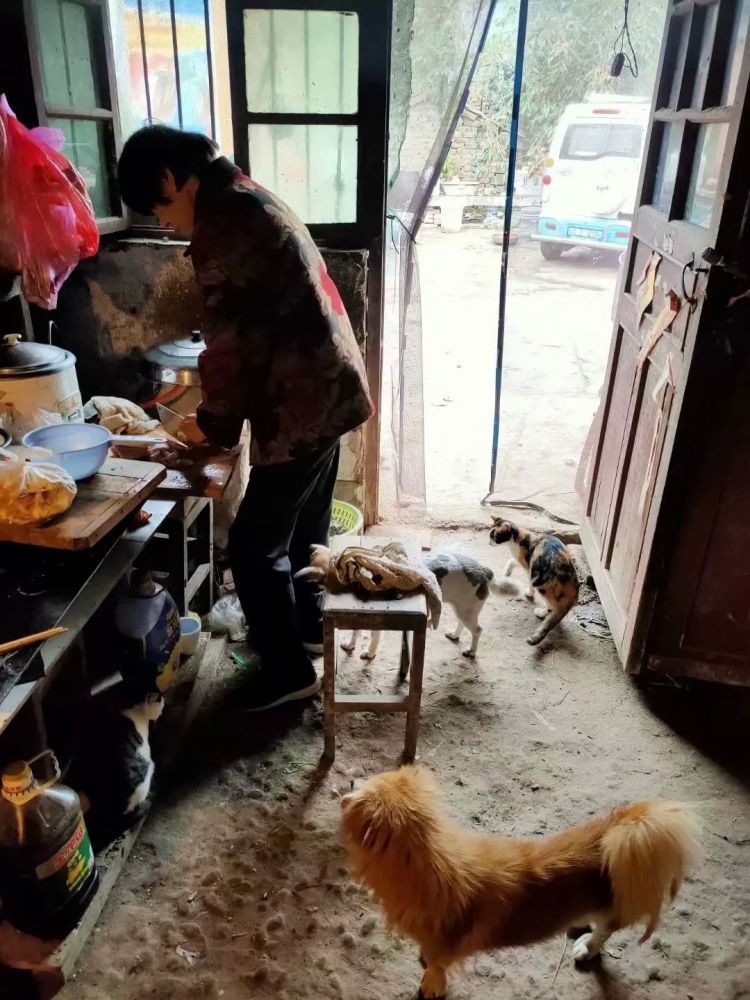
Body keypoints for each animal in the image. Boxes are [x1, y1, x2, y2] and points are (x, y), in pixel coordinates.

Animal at [340, 768, 700, 996]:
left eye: (363, 786)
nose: (351, 779)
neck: (426, 865)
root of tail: (620, 830)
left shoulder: (445, 948)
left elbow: (436, 968)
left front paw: (430, 986)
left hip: (615, 899)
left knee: (605, 931)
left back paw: (586, 947)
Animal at [342, 548, 512, 664]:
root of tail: (484, 570)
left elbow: (373, 638)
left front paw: (369, 653)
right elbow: (355, 632)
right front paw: (350, 644)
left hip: (467, 611)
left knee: (477, 630)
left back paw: (471, 651)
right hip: (462, 609)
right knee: (462, 624)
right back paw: (455, 635)